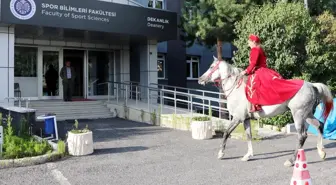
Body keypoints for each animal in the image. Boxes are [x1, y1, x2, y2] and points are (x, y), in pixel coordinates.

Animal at [198, 55, 332, 167]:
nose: (200, 79)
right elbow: (248, 136)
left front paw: (221, 154)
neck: (236, 88)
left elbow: (226, 133)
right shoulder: (246, 119)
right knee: (319, 125)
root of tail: (312, 85)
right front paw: (248, 155)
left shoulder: (237, 118)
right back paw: (321, 152)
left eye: (211, 67)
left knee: (302, 136)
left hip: (298, 115)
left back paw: (291, 161)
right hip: (307, 114)